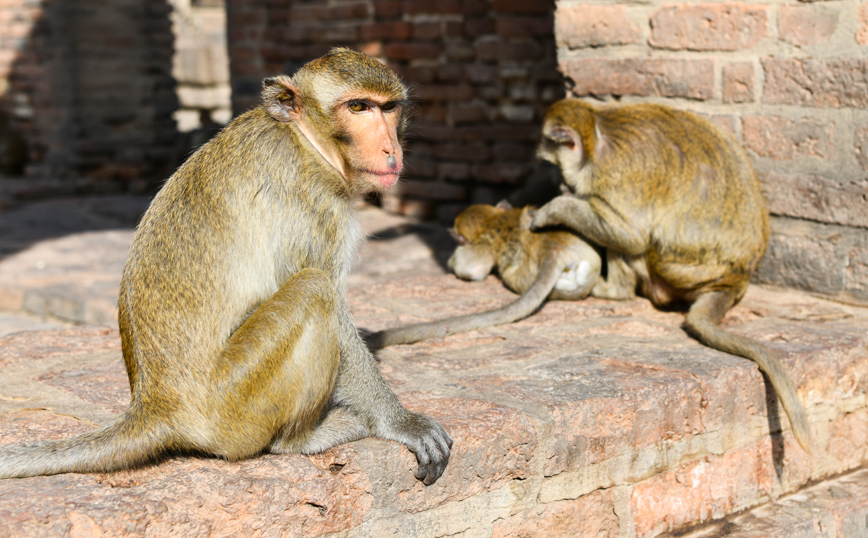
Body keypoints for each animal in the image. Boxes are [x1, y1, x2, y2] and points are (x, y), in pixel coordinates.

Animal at [1, 47, 454, 482]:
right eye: (358, 107)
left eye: (389, 107)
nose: (391, 149)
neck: (304, 140)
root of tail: (155, 406)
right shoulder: (311, 207)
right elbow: (334, 309)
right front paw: (400, 421)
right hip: (236, 402)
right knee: (313, 289)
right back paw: (301, 439)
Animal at [528, 97, 812, 452]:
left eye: (550, 164)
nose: (557, 183)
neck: (599, 134)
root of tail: (735, 281)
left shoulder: (615, 173)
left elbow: (630, 236)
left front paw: (552, 209)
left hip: (673, 269)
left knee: (637, 241)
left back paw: (613, 290)